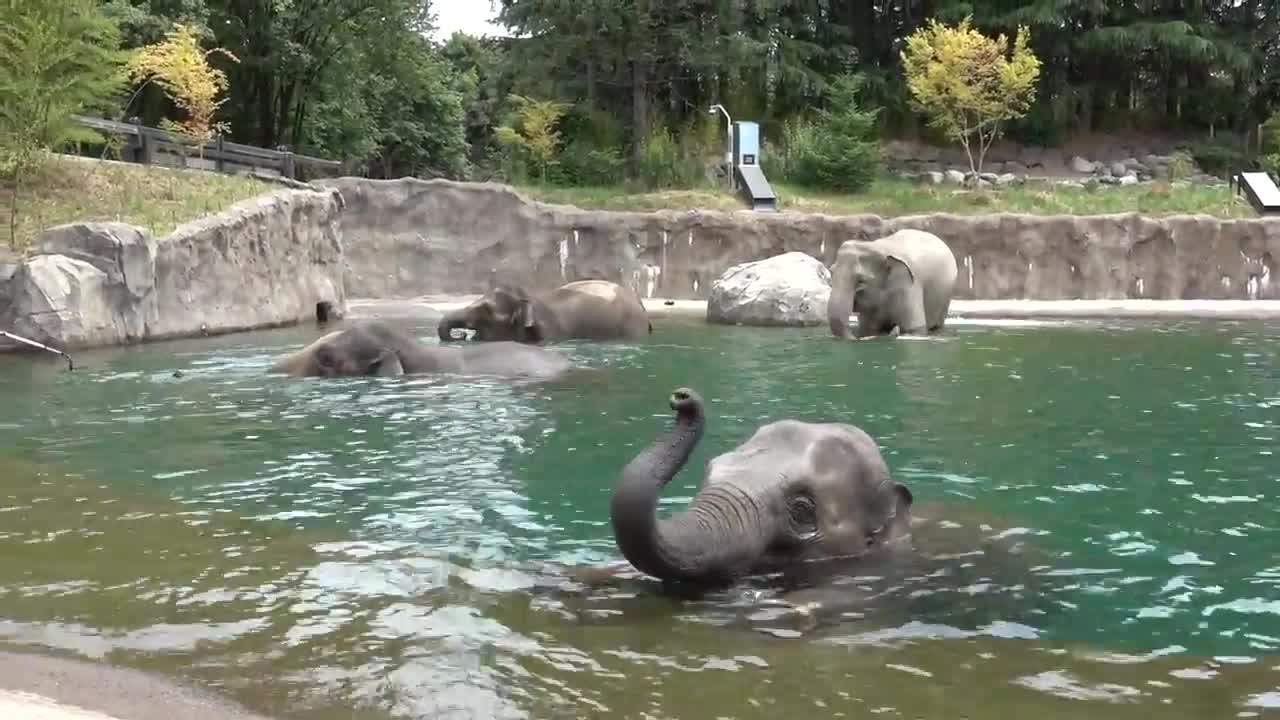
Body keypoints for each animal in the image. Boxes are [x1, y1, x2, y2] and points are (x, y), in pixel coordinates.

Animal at [824, 228, 957, 338]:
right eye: (831, 273)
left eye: (861, 281)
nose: (894, 328)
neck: (879, 247)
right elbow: (869, 329)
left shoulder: (909, 288)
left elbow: (913, 328)